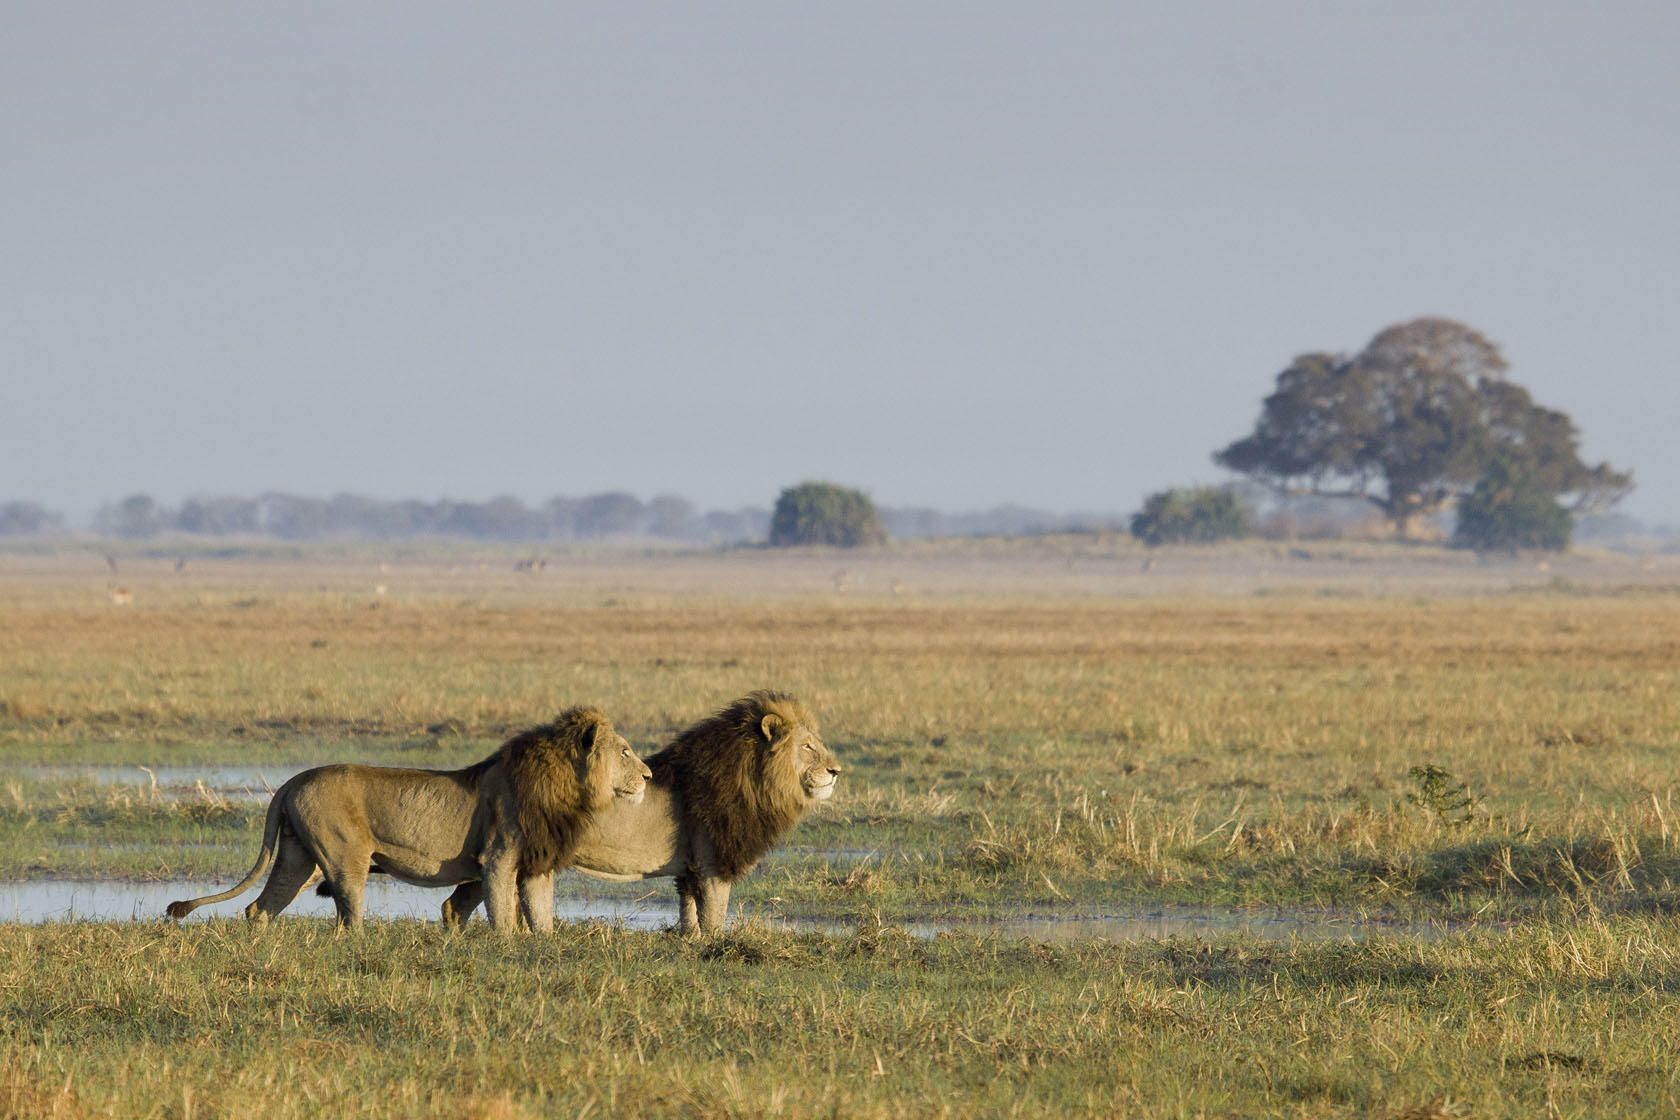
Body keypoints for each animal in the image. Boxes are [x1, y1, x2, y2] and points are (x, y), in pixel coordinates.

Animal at [164, 707, 650, 932]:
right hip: (343, 857)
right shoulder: (498, 857)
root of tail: (293, 780)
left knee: (260, 907)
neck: (568, 786)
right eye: (626, 751)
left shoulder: (536, 865)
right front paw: (507, 948)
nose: (648, 776)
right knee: (348, 915)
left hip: (298, 856)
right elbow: (502, 915)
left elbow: (541, 916)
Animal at [438, 690, 839, 935]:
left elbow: (690, 913)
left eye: (818, 744)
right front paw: (716, 944)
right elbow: (713, 915)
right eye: (807, 747)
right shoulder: (712, 862)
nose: (836, 770)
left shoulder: (691, 867)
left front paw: (690, 941)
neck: (755, 779)